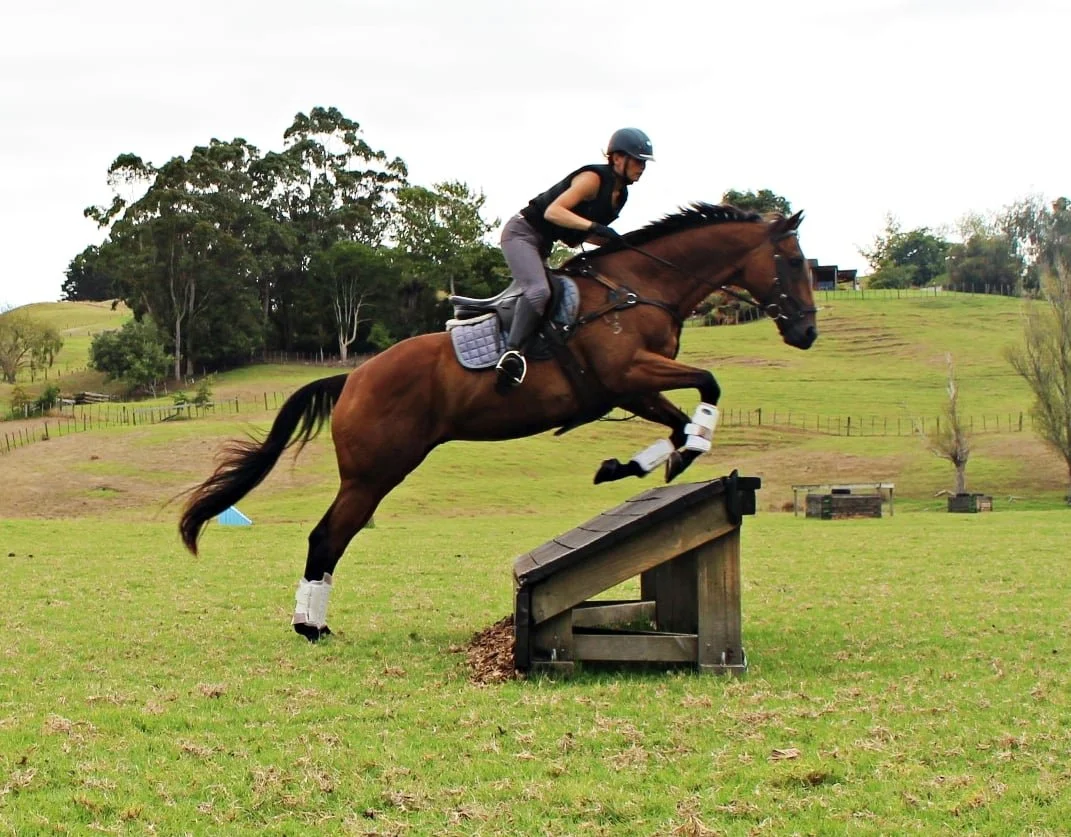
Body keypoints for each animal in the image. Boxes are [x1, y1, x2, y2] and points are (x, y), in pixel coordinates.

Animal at [179, 203, 818, 640]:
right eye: (792, 262)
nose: (807, 331)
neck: (640, 290)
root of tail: (352, 378)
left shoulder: (629, 388)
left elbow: (680, 418)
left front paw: (639, 464)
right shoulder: (629, 373)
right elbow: (708, 382)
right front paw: (679, 450)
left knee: (331, 536)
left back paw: (313, 622)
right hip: (374, 473)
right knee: (327, 535)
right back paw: (309, 625)